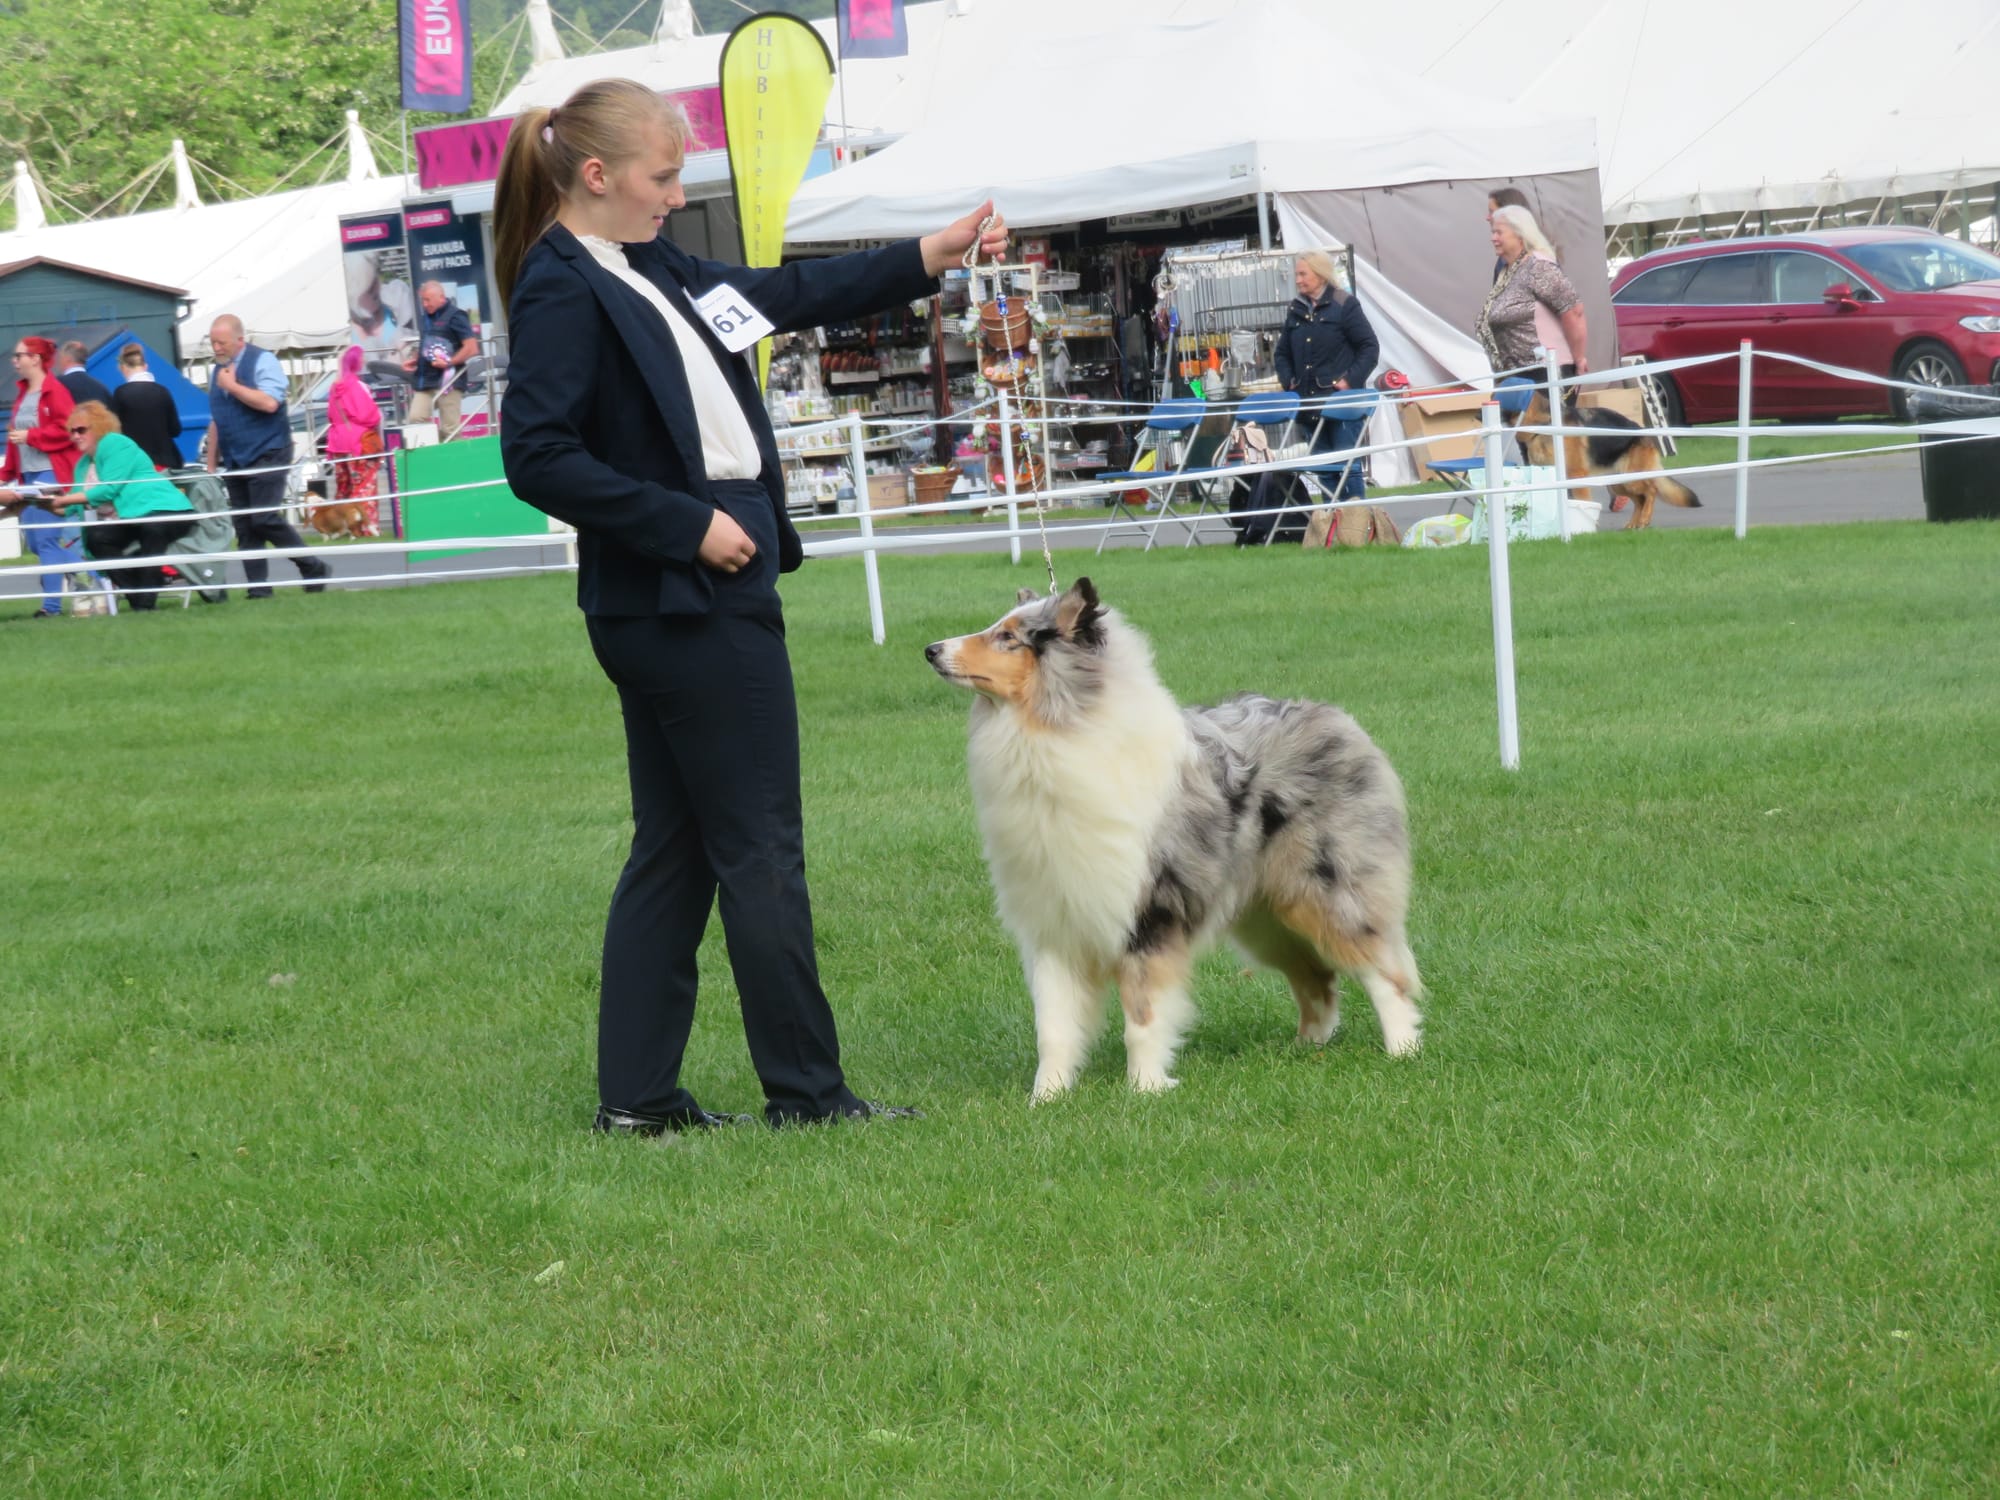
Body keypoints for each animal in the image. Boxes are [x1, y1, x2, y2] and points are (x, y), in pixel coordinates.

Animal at [924, 576, 1424, 1104]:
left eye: (1009, 638)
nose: (931, 650)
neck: (1054, 733)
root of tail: (1335, 717)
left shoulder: (1148, 916)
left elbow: (1142, 1016)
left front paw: (1145, 1090)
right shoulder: (1055, 923)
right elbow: (1054, 1028)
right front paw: (1046, 1099)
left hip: (1328, 891)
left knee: (1383, 969)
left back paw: (1403, 1049)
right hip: (1264, 917)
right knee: (1317, 976)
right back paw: (1307, 1049)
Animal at [1512, 390, 1704, 532]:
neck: (1544, 424)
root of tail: (1642, 432)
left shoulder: (1576, 476)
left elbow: (1583, 502)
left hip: (1631, 478)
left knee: (1651, 490)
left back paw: (1644, 519)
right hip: (1619, 484)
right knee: (1639, 500)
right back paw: (1634, 523)